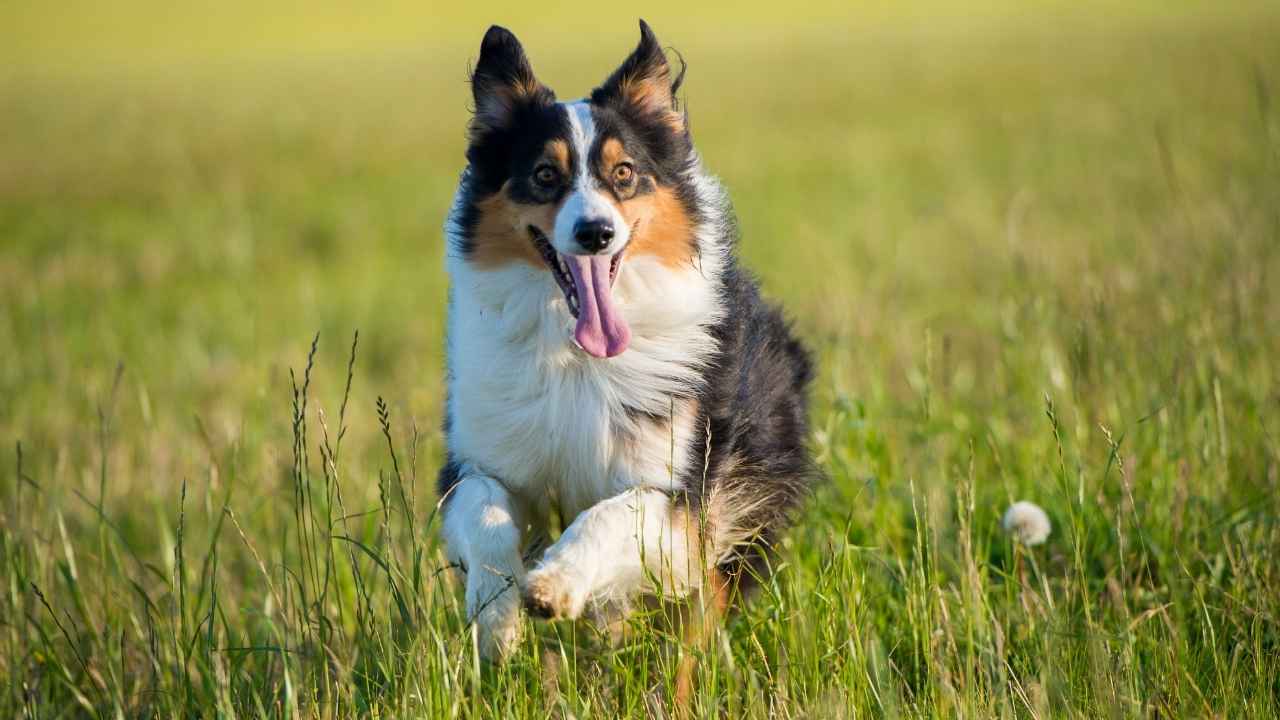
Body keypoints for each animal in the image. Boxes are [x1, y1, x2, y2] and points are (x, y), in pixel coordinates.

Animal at [440, 19, 814, 666]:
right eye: (544, 174)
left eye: (624, 174)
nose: (596, 232)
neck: (574, 354)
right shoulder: (480, 458)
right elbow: (486, 510)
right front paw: (496, 614)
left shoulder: (681, 496)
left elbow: (613, 513)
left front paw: (555, 582)